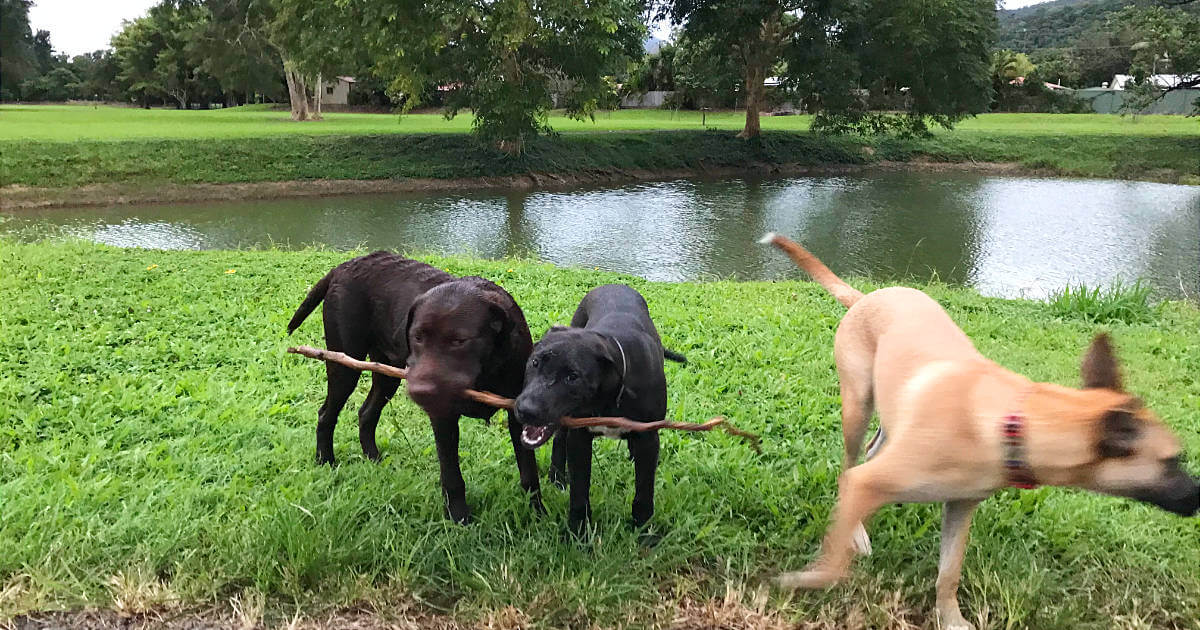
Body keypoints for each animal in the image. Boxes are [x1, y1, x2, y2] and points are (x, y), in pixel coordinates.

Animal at [286, 250, 540, 520]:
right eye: (417, 337)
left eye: (459, 341)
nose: (420, 392)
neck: (486, 372)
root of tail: (344, 266)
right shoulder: (443, 416)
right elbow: (452, 476)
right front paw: (459, 518)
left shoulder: (520, 416)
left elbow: (529, 474)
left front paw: (537, 514)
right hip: (345, 365)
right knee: (327, 414)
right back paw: (326, 461)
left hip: (387, 374)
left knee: (366, 413)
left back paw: (373, 459)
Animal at [513, 282, 686, 532]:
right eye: (534, 362)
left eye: (573, 377)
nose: (525, 409)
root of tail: (614, 283)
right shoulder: (579, 437)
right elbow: (579, 492)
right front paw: (578, 532)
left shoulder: (648, 437)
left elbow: (644, 493)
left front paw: (644, 531)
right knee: (559, 439)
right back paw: (557, 478)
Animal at [763, 231, 1195, 628]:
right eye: (1172, 460)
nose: (1198, 496)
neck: (1010, 422)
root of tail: (866, 296)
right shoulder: (872, 482)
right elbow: (835, 561)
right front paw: (801, 581)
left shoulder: (961, 504)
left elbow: (949, 572)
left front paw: (951, 618)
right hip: (857, 403)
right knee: (850, 464)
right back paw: (856, 531)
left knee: (873, 449)